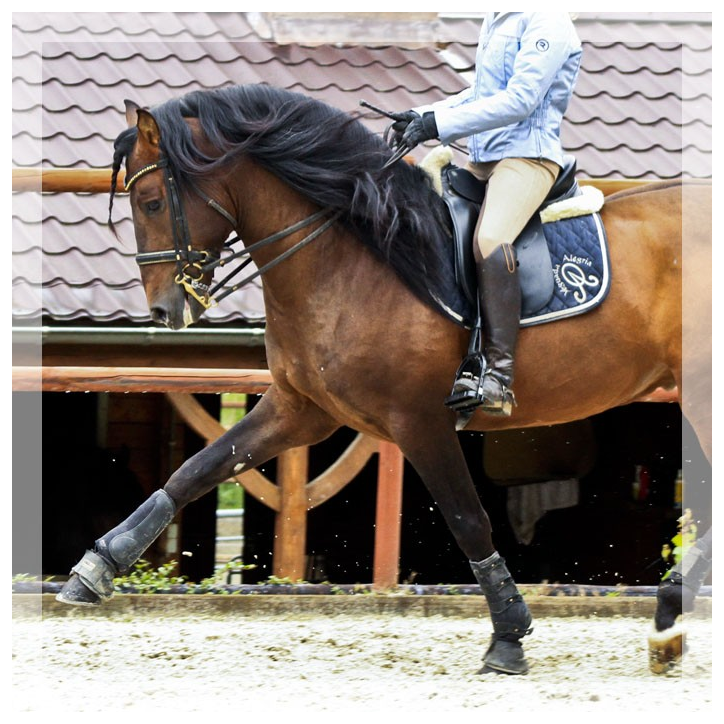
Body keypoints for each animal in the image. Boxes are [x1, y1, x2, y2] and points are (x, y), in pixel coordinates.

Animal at [56, 84, 712, 676]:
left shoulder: (418, 421)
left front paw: (508, 636)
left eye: (151, 202)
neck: (354, 255)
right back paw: (668, 627)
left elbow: (468, 520)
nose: (165, 310)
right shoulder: (301, 408)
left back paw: (667, 621)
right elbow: (196, 470)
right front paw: (96, 568)